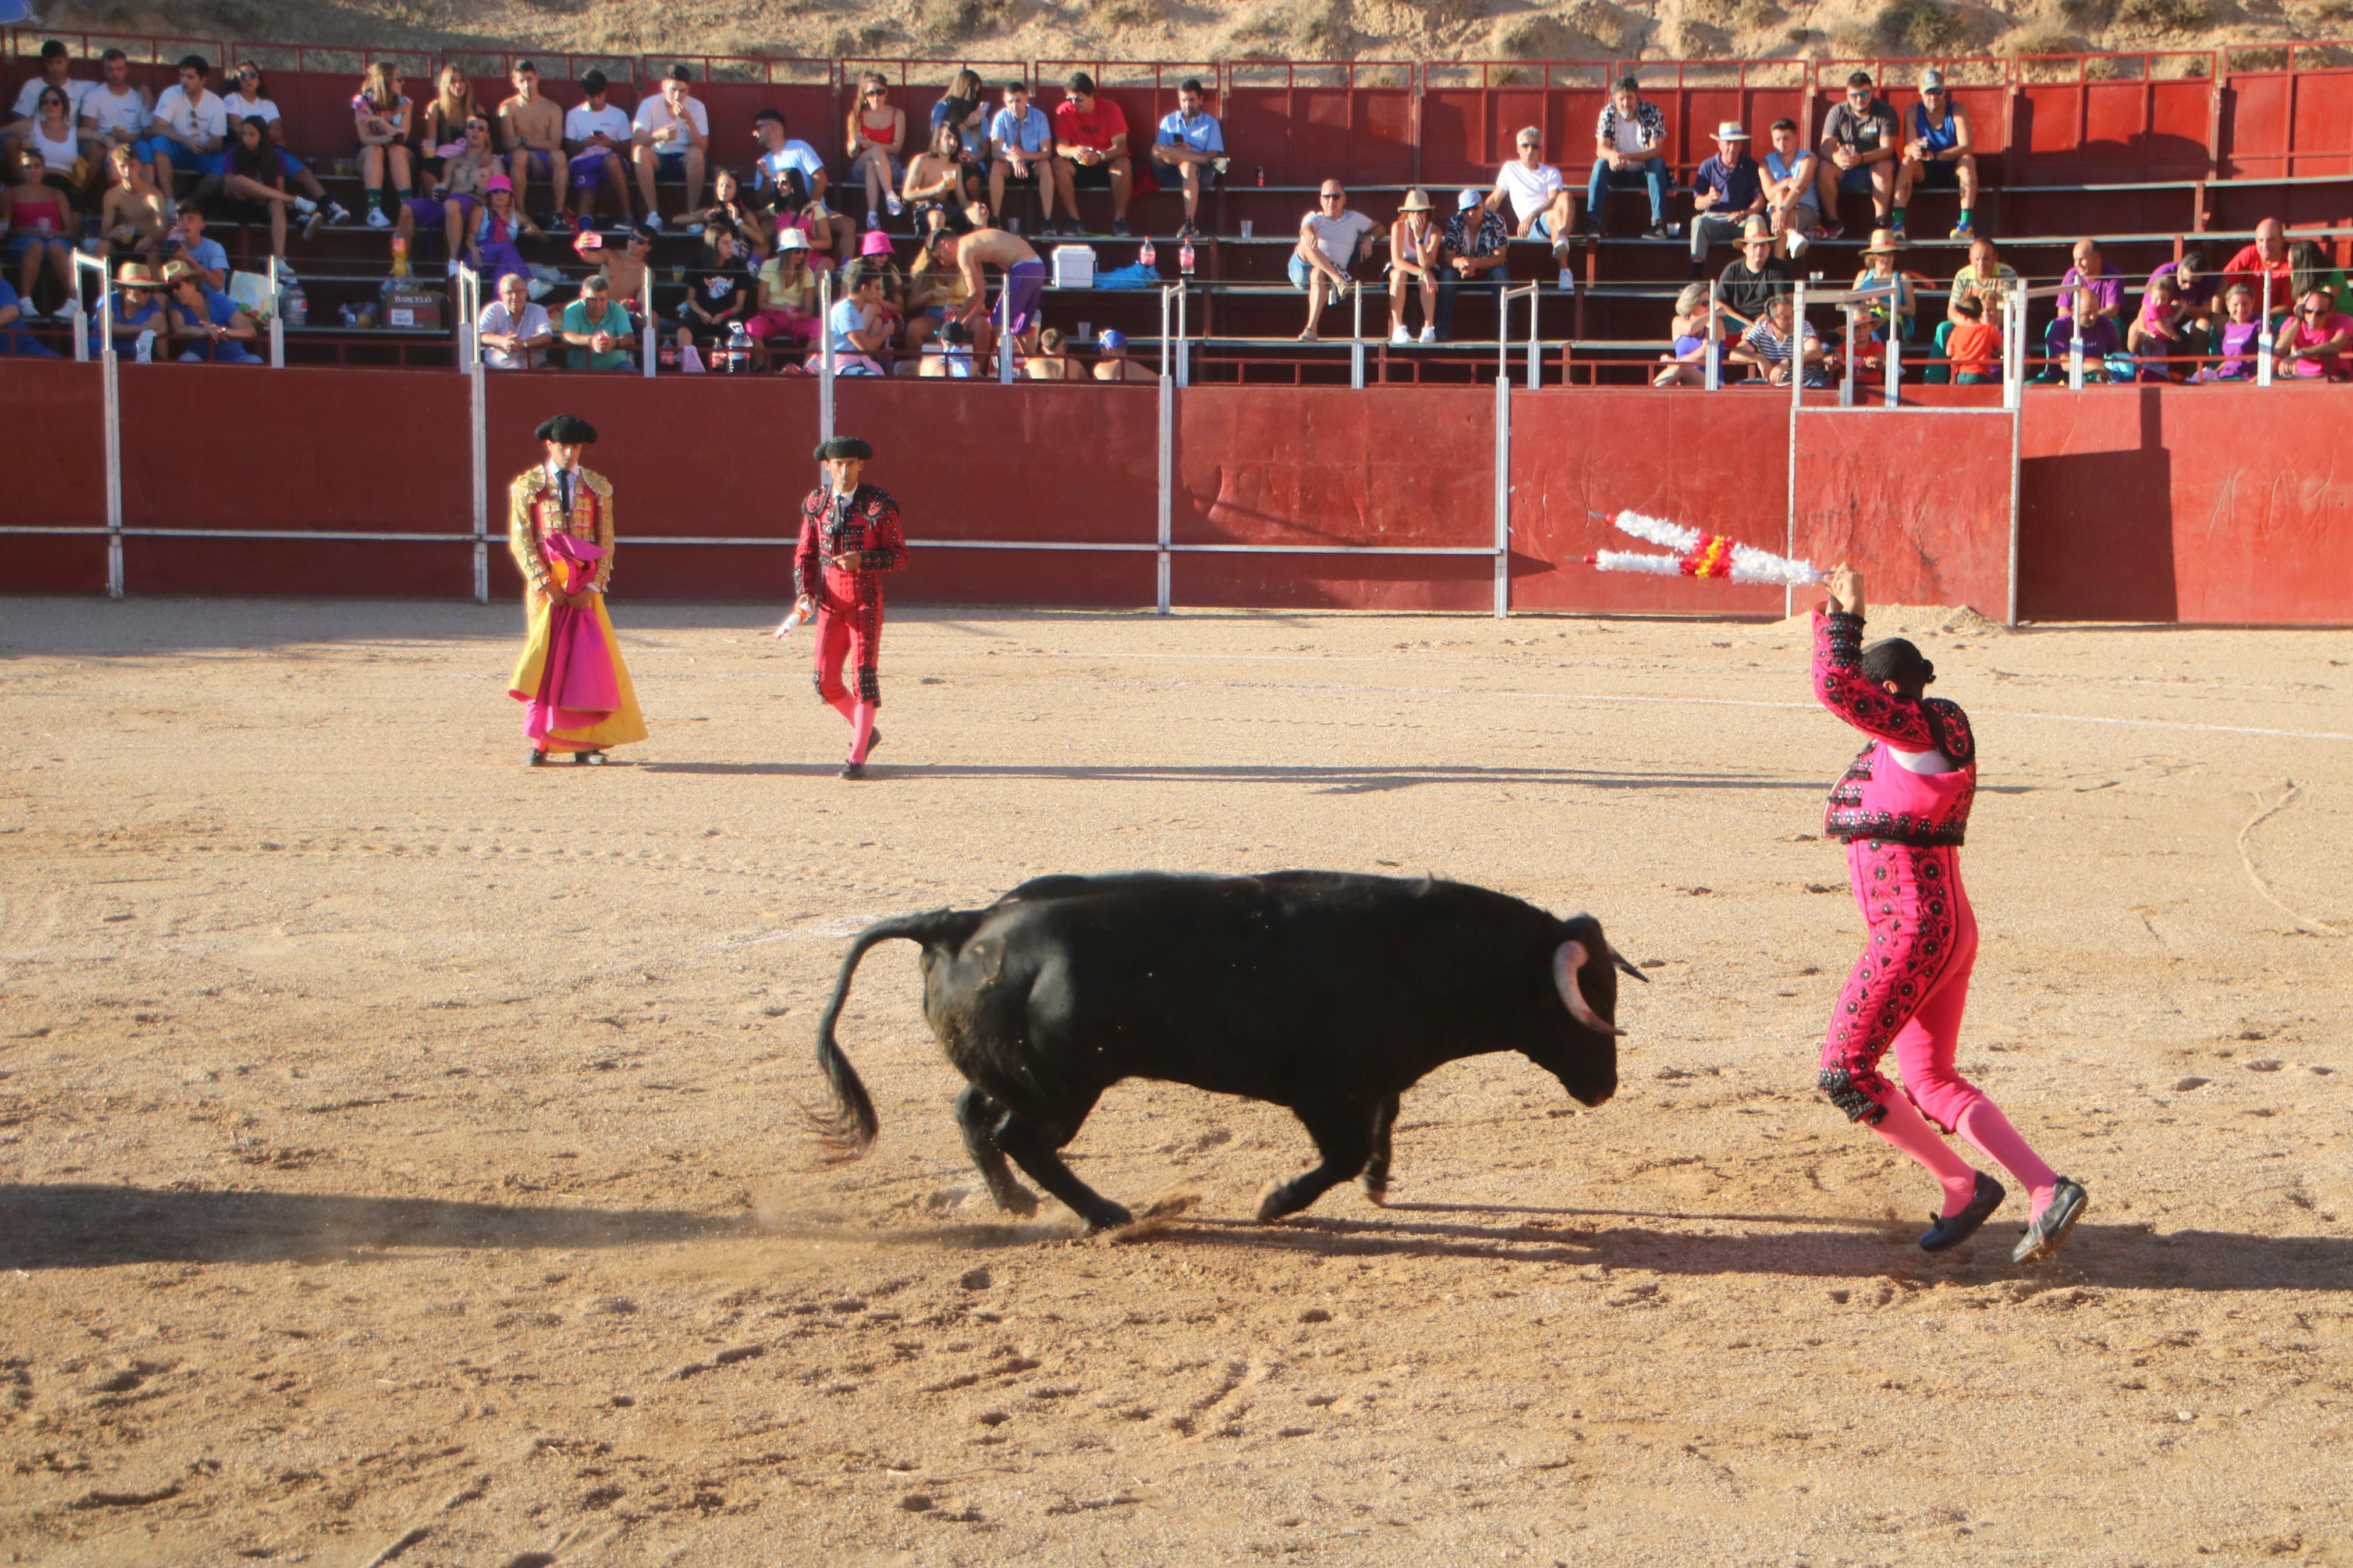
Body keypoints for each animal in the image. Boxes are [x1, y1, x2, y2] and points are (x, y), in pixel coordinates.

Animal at [809, 869, 1637, 1222]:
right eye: (1588, 1002)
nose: (1604, 1087)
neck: (1418, 951)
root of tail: (963, 922)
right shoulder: (1325, 1093)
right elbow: (1341, 1155)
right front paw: (1276, 1203)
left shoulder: (1372, 1081)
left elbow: (1383, 1129)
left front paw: (1379, 1182)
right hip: (1064, 1088)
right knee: (1022, 1138)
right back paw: (1107, 1213)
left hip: (1015, 1073)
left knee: (973, 1116)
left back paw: (1015, 1204)